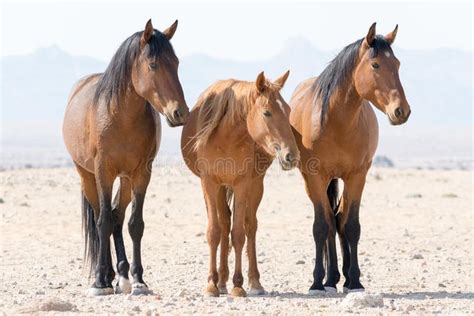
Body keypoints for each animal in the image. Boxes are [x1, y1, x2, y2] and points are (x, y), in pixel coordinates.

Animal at [62, 19, 189, 296]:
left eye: (176, 62)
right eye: (153, 64)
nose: (180, 113)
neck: (121, 117)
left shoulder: (142, 173)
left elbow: (134, 224)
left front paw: (139, 279)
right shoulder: (103, 172)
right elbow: (103, 223)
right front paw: (99, 282)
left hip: (126, 179)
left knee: (118, 217)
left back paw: (120, 275)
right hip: (87, 176)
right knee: (102, 217)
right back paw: (106, 275)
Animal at [181, 71, 300, 296]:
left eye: (288, 111)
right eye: (267, 112)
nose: (291, 156)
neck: (226, 137)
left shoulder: (243, 184)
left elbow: (238, 233)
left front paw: (238, 284)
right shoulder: (209, 183)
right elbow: (214, 231)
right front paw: (211, 284)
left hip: (256, 185)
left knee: (249, 226)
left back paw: (254, 282)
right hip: (220, 189)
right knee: (224, 224)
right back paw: (221, 281)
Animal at [288, 23, 412, 296]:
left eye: (397, 64)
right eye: (375, 64)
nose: (401, 111)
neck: (337, 123)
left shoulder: (357, 175)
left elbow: (351, 225)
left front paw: (354, 281)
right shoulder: (315, 177)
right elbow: (321, 226)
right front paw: (317, 282)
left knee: (339, 218)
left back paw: (340, 276)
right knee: (330, 221)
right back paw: (330, 278)